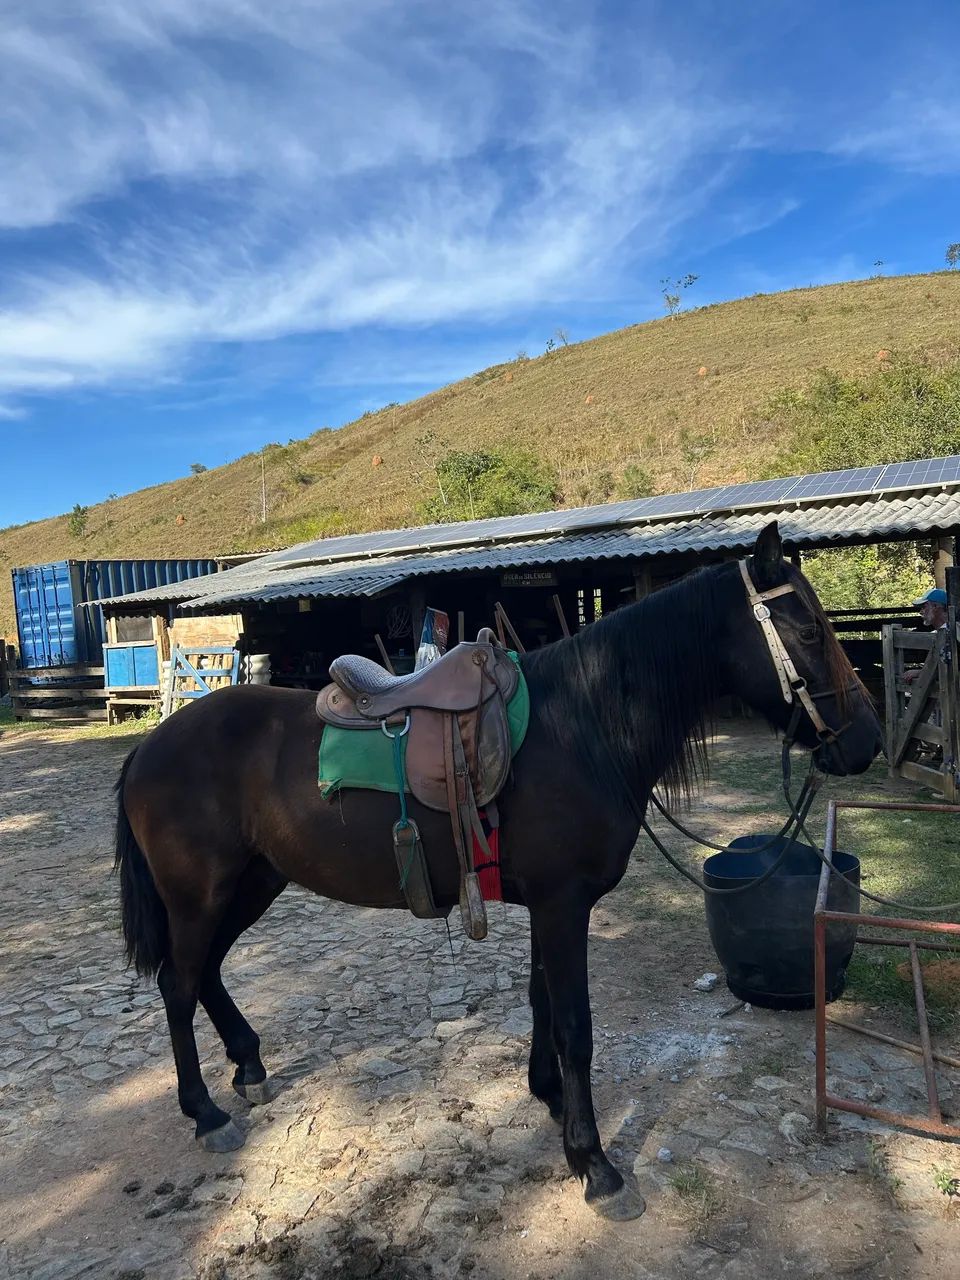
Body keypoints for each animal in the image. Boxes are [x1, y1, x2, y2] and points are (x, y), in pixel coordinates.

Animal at [114, 523, 882, 1220]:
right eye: (807, 628)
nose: (867, 742)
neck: (582, 727)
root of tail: (154, 743)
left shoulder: (550, 904)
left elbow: (543, 1001)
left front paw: (550, 1099)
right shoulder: (564, 903)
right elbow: (575, 1023)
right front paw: (595, 1163)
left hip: (250, 884)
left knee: (205, 973)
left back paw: (248, 1065)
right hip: (200, 894)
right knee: (178, 985)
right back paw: (206, 1112)